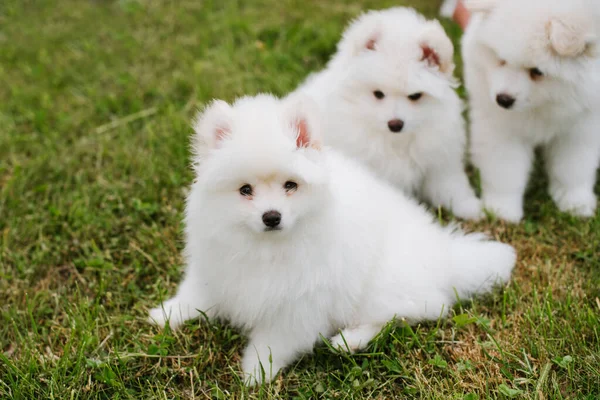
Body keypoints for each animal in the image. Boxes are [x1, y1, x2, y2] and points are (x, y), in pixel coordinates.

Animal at [146, 93, 516, 384]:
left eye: (290, 186)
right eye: (245, 190)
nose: (271, 216)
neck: (267, 247)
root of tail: (445, 255)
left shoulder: (300, 302)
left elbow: (275, 340)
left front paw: (256, 371)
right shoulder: (217, 267)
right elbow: (196, 294)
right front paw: (166, 313)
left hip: (380, 285)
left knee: (415, 310)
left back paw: (348, 340)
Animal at [296, 7, 482, 219]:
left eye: (415, 96)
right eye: (378, 94)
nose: (395, 124)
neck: (395, 141)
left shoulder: (438, 157)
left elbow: (449, 184)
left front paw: (468, 206)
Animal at [464, 0, 600, 222]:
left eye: (537, 72)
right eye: (501, 59)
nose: (503, 99)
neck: (543, 105)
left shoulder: (581, 127)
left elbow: (573, 168)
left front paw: (575, 203)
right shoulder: (500, 127)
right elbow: (505, 170)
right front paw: (502, 210)